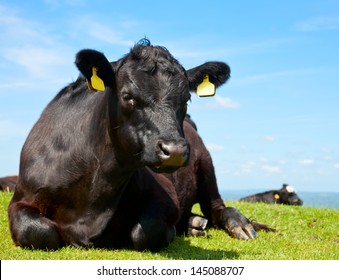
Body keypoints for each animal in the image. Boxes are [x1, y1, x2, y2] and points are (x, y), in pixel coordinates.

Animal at [7, 39, 270, 252]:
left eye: (186, 99)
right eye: (128, 96)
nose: (174, 151)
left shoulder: (165, 196)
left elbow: (145, 231)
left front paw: (172, 232)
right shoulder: (21, 198)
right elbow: (37, 232)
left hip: (207, 167)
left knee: (217, 208)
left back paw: (238, 225)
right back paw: (194, 224)